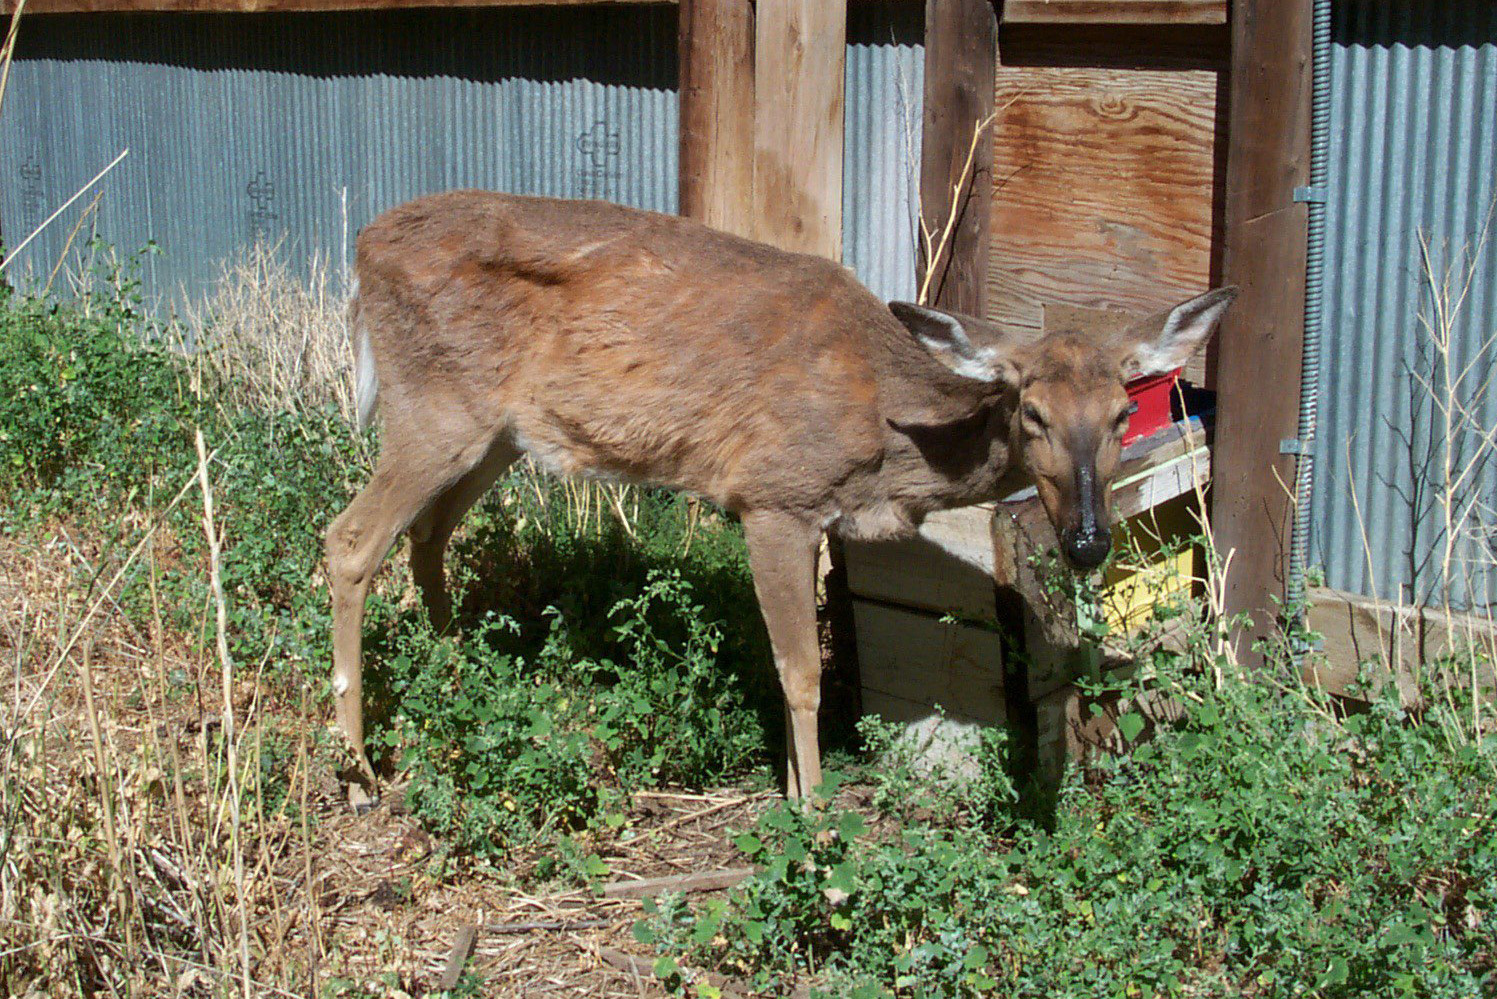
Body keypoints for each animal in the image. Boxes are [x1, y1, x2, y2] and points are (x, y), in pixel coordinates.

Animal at [326, 190, 1237, 800]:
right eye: (1032, 411)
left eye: (1121, 414)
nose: (1087, 540)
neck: (887, 436)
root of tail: (360, 250)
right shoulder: (771, 496)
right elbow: (800, 672)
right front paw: (814, 814)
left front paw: (799, 790)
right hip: (434, 407)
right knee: (349, 540)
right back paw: (362, 766)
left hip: (497, 433)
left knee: (427, 536)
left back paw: (460, 674)